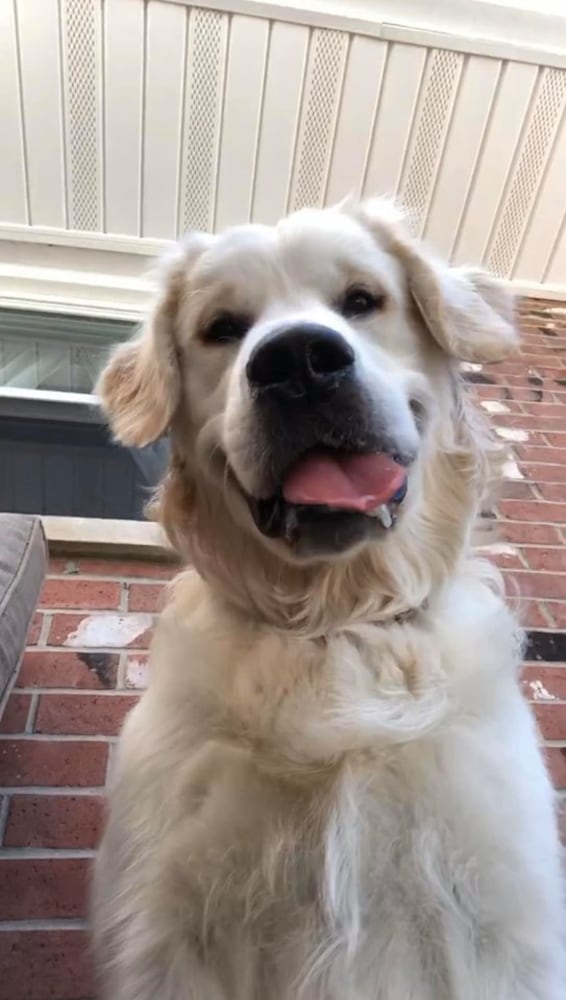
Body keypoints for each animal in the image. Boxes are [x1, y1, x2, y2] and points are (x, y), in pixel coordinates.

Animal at [92, 199, 564, 996]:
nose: (298, 362)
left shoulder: (498, 922)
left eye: (362, 300)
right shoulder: (169, 932)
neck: (335, 626)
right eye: (222, 327)